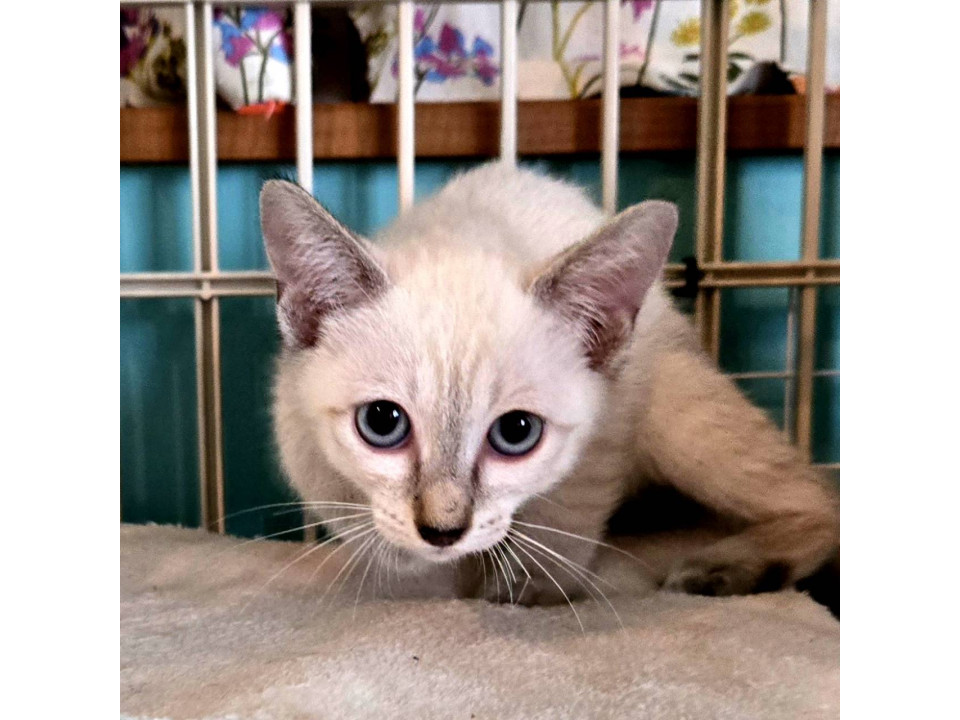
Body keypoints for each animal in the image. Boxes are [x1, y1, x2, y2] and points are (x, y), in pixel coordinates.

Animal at [260, 162, 840, 605]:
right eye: (382, 423)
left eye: (517, 432)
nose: (443, 531)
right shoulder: (310, 454)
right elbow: (383, 539)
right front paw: (427, 577)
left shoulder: (607, 431)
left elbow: (562, 520)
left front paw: (529, 590)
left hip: (677, 411)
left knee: (816, 497)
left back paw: (726, 569)